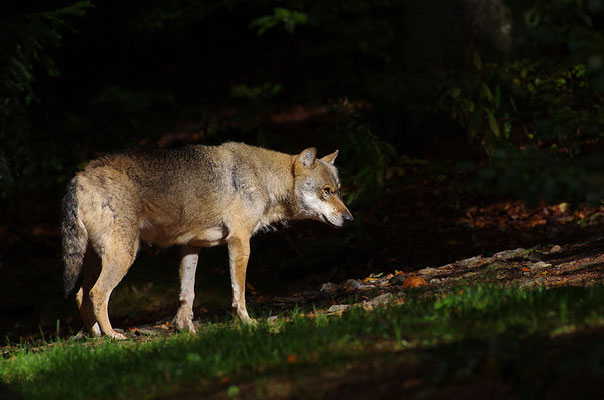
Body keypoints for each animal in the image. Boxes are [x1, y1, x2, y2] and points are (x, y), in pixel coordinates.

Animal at [60, 142, 354, 340]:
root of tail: (79, 177)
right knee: (97, 293)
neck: (263, 179)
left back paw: (97, 337)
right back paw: (113, 336)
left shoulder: (191, 246)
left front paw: (186, 330)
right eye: (326, 191)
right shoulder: (240, 242)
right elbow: (239, 292)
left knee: (81, 294)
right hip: (125, 255)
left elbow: (187, 294)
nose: (350, 218)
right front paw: (247, 323)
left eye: (338, 191)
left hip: (98, 258)